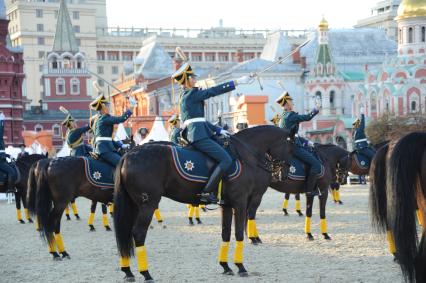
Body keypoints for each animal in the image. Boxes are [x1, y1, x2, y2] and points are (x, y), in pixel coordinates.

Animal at [111, 126, 294, 282]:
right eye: (291, 144)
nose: (284, 174)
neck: (244, 156)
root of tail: (129, 154)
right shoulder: (240, 202)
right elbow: (238, 234)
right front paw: (241, 267)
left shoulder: (227, 205)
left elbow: (225, 233)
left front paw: (226, 266)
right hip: (147, 205)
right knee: (138, 234)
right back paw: (146, 274)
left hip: (134, 205)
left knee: (126, 232)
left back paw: (128, 271)